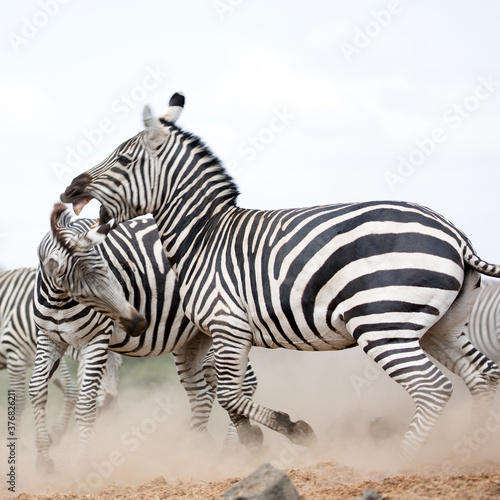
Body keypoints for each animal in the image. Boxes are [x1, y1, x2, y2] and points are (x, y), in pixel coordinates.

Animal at [0, 268, 121, 444]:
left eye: (120, 367)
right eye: (102, 369)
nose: (111, 406)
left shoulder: (50, 354)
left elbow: (70, 390)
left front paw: (55, 435)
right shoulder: (15, 355)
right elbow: (19, 402)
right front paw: (18, 445)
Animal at [30, 205, 258, 470]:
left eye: (110, 270)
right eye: (80, 289)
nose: (137, 323)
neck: (58, 300)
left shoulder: (95, 340)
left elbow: (86, 404)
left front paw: (81, 462)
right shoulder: (49, 337)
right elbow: (37, 390)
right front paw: (43, 460)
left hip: (222, 321)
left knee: (244, 381)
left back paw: (230, 449)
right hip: (194, 335)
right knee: (203, 389)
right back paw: (198, 448)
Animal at [60, 93, 500, 460]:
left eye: (123, 160)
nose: (70, 189)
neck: (203, 236)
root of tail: (455, 234)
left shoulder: (228, 325)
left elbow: (230, 395)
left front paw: (289, 431)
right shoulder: (221, 333)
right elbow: (226, 396)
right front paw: (251, 441)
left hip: (383, 325)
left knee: (433, 388)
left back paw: (402, 461)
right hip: (441, 327)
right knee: (482, 378)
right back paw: (469, 446)